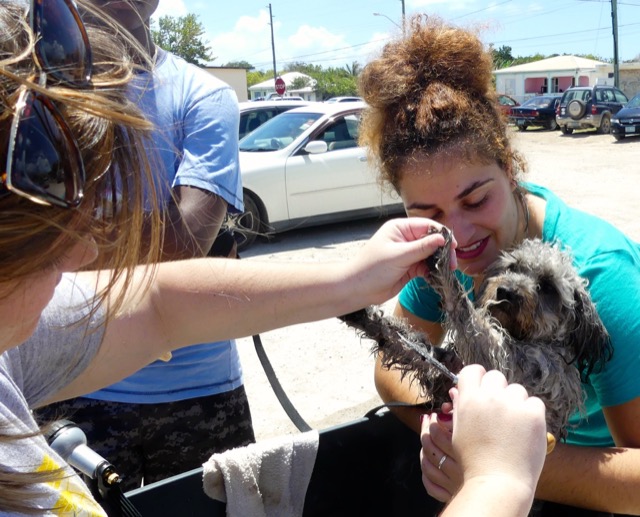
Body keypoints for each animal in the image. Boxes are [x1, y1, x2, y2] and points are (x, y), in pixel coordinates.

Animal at [342, 228, 612, 438]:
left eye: (547, 286)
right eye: (513, 267)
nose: (506, 291)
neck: (521, 337)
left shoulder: (508, 366)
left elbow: (463, 308)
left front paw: (442, 263)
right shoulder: (444, 371)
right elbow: (407, 344)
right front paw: (366, 317)